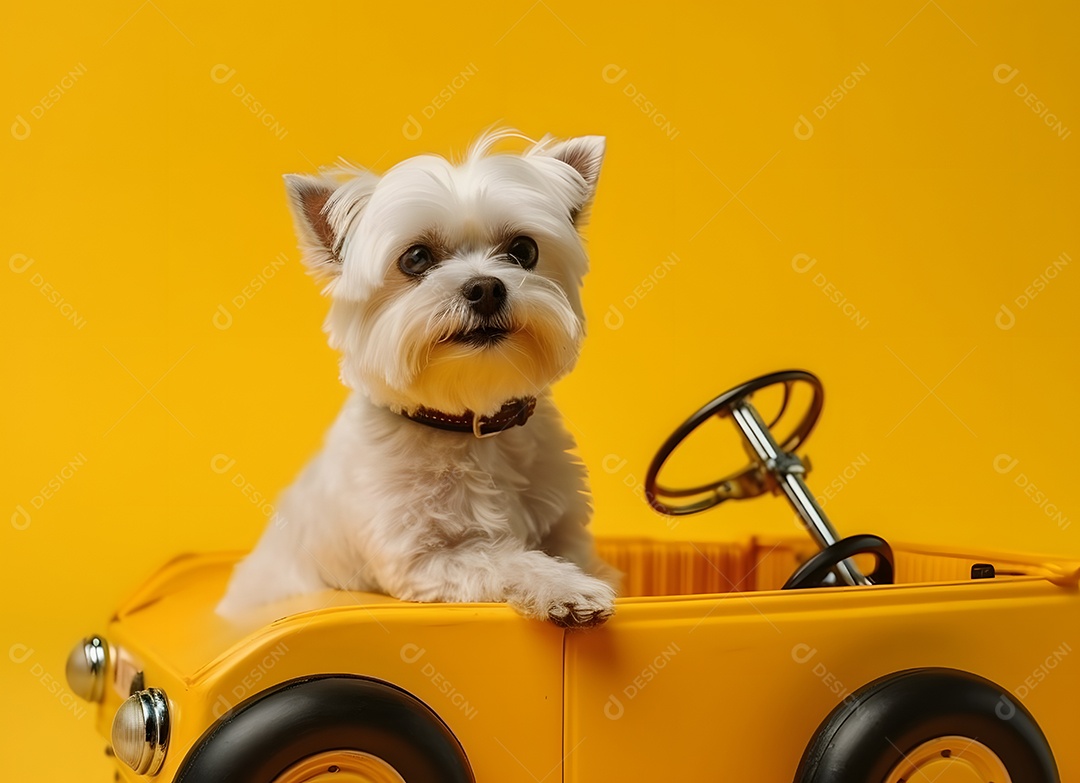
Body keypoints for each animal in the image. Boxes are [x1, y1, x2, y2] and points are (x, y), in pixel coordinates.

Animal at [214, 129, 617, 630]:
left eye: (524, 251)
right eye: (416, 258)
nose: (486, 287)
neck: (469, 423)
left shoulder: (567, 531)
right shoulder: (422, 560)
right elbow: (504, 558)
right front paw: (565, 589)